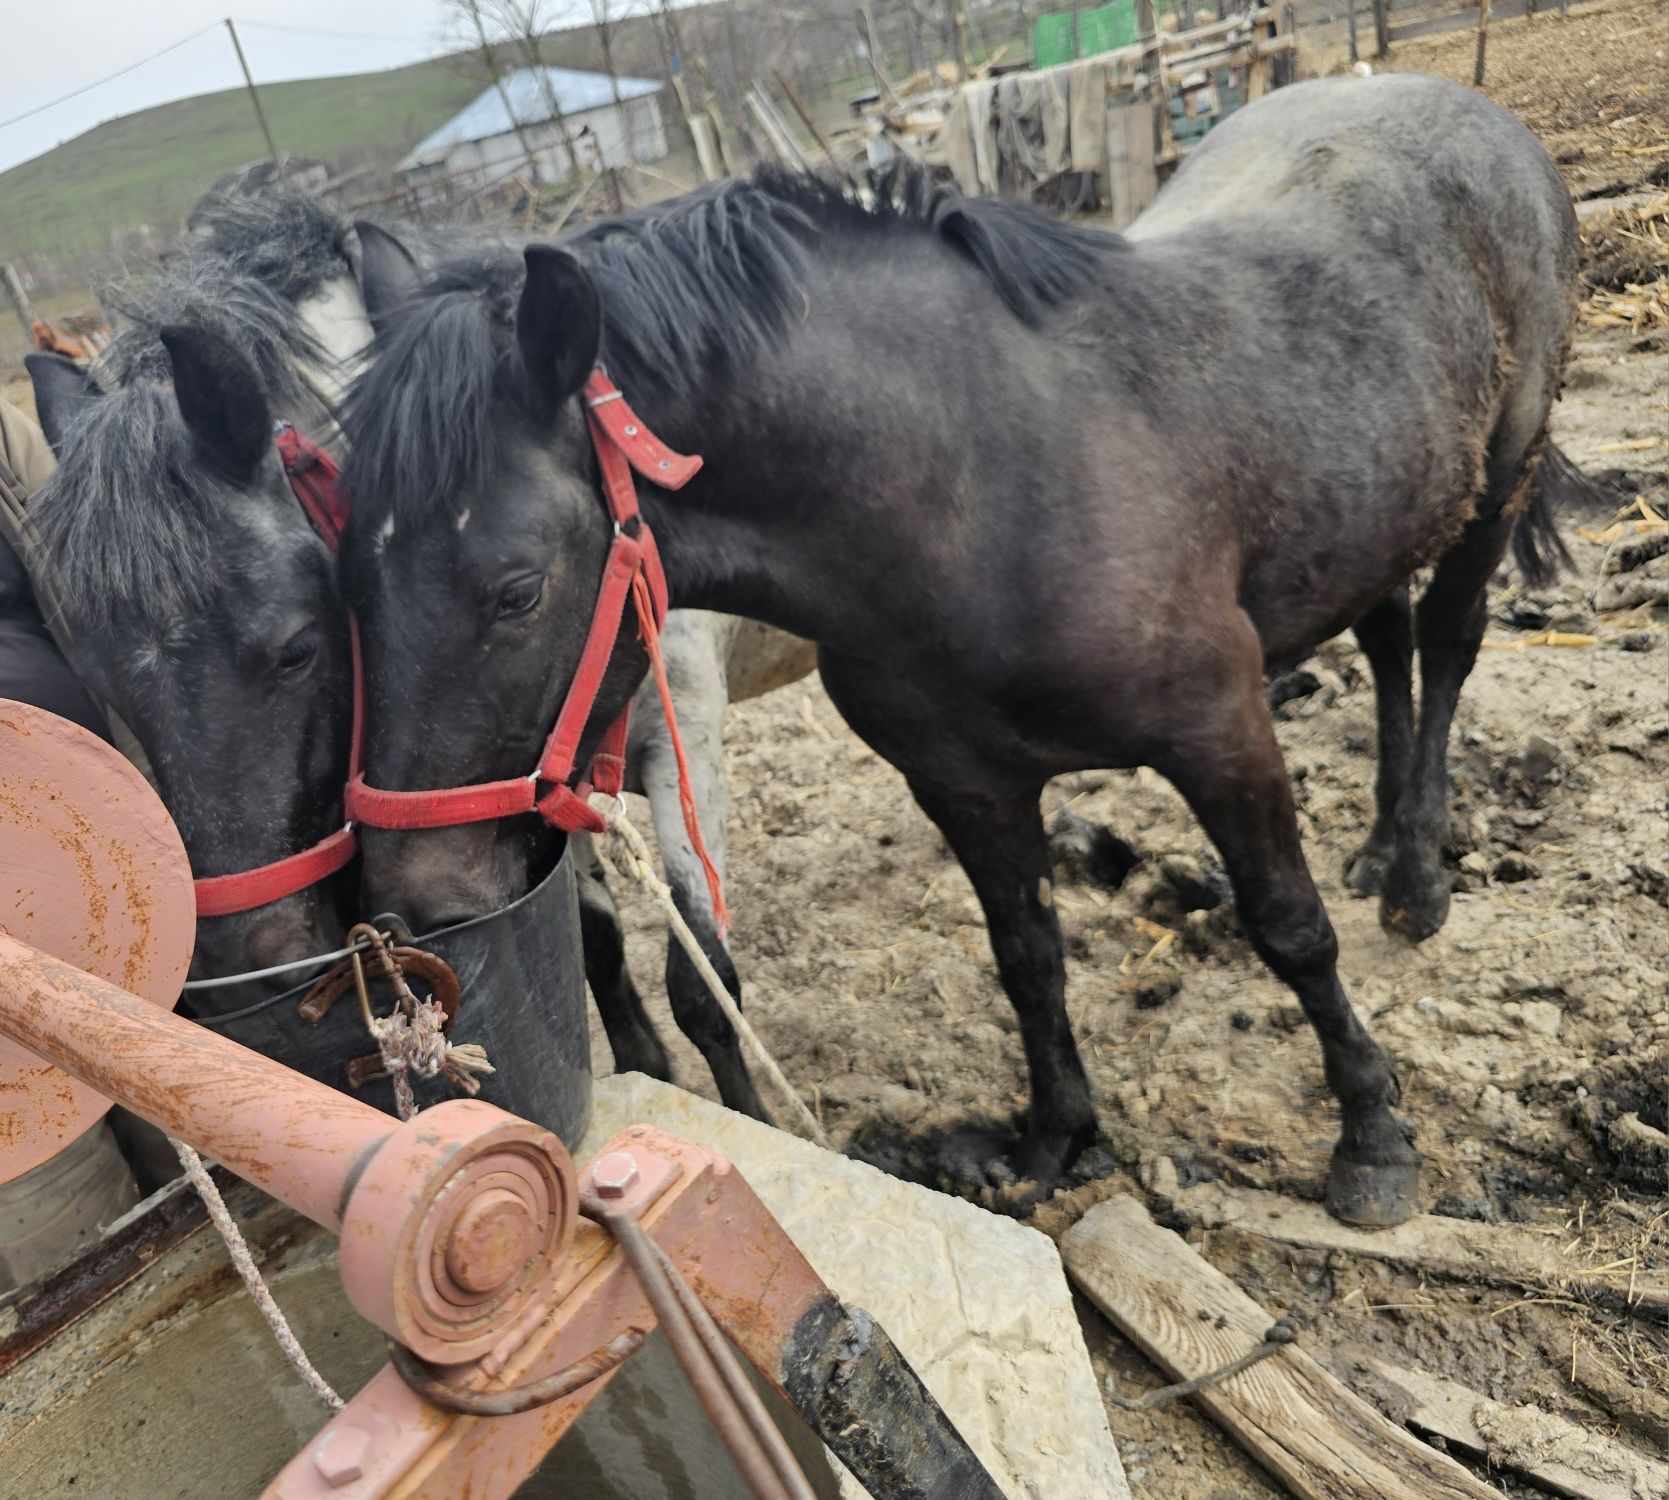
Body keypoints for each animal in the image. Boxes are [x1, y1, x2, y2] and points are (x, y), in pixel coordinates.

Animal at [338, 76, 1575, 1228]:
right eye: (344, 565)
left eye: (515, 590)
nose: (409, 908)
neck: (973, 485)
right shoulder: (963, 783)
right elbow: (1026, 958)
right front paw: (1053, 1141)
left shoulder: (1218, 728)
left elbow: (1289, 929)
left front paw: (1369, 1135)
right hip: (1379, 512)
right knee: (1385, 636)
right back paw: (1377, 846)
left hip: (1495, 483)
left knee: (1447, 645)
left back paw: (1415, 876)